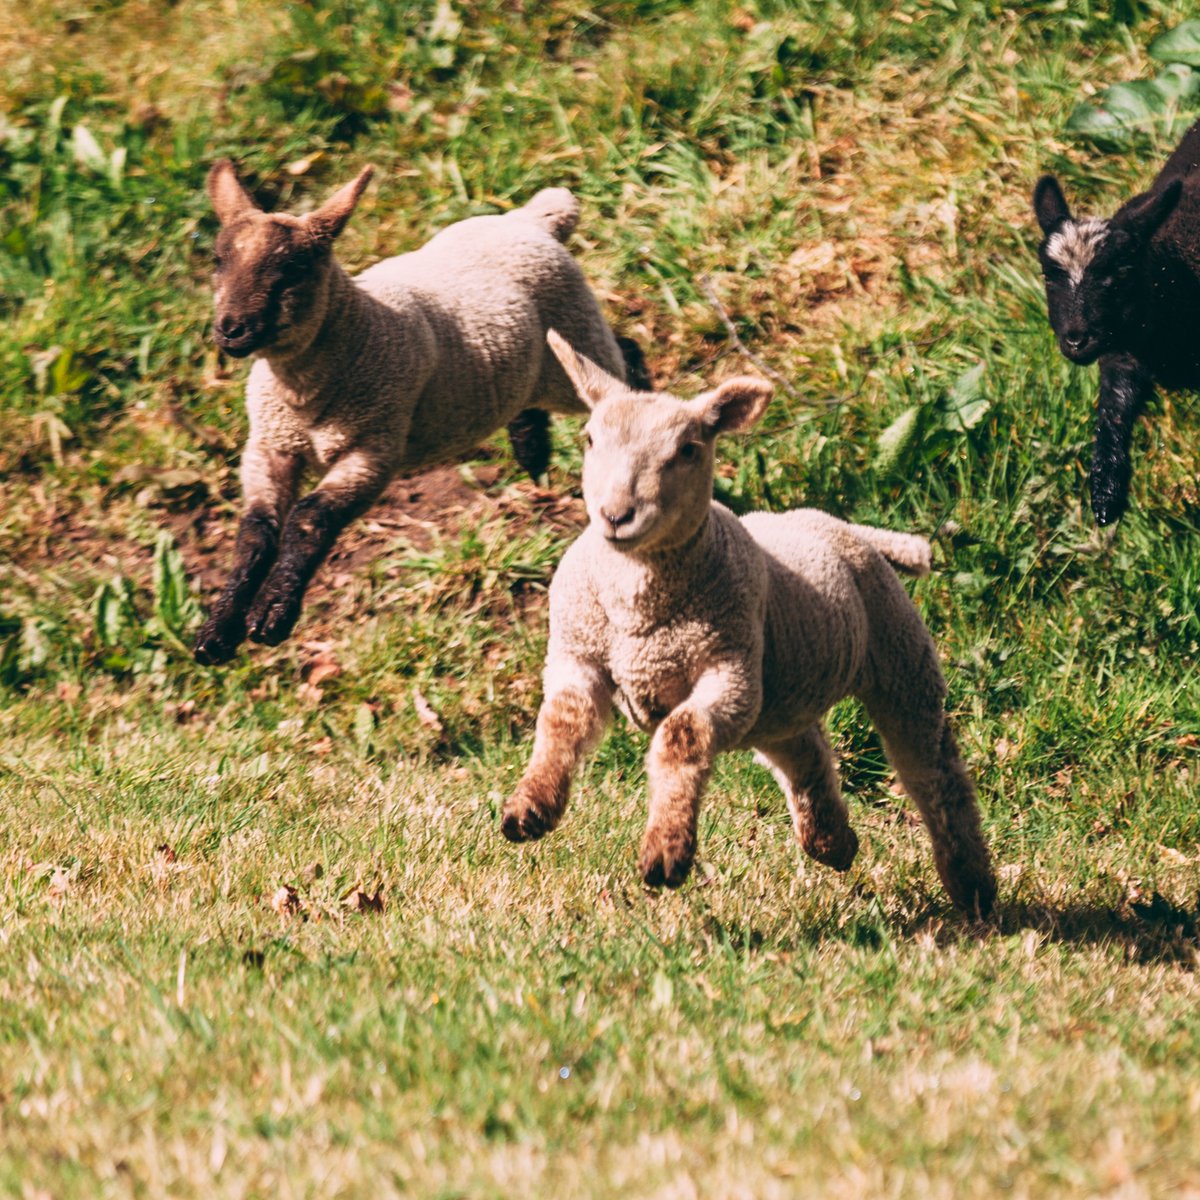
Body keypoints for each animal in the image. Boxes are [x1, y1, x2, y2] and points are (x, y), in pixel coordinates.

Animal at [193, 161, 650, 664]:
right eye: (217, 261)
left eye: (293, 269)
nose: (231, 330)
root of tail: (533, 219)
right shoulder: (270, 446)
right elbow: (254, 532)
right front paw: (218, 631)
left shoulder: (373, 446)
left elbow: (310, 518)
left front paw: (272, 614)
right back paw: (531, 450)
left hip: (577, 338)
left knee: (625, 359)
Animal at [501, 331, 997, 915]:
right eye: (589, 439)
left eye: (687, 450)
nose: (616, 515)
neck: (638, 612)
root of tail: (851, 529)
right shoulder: (577, 655)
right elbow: (562, 720)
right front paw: (529, 810)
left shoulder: (729, 668)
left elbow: (681, 736)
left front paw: (665, 855)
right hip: (778, 696)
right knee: (806, 751)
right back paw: (833, 843)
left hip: (898, 661)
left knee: (934, 773)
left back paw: (973, 886)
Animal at [1033, 118, 1200, 526]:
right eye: (1048, 275)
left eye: (1121, 273)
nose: (1076, 340)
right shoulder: (1121, 354)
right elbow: (1112, 412)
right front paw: (1105, 493)